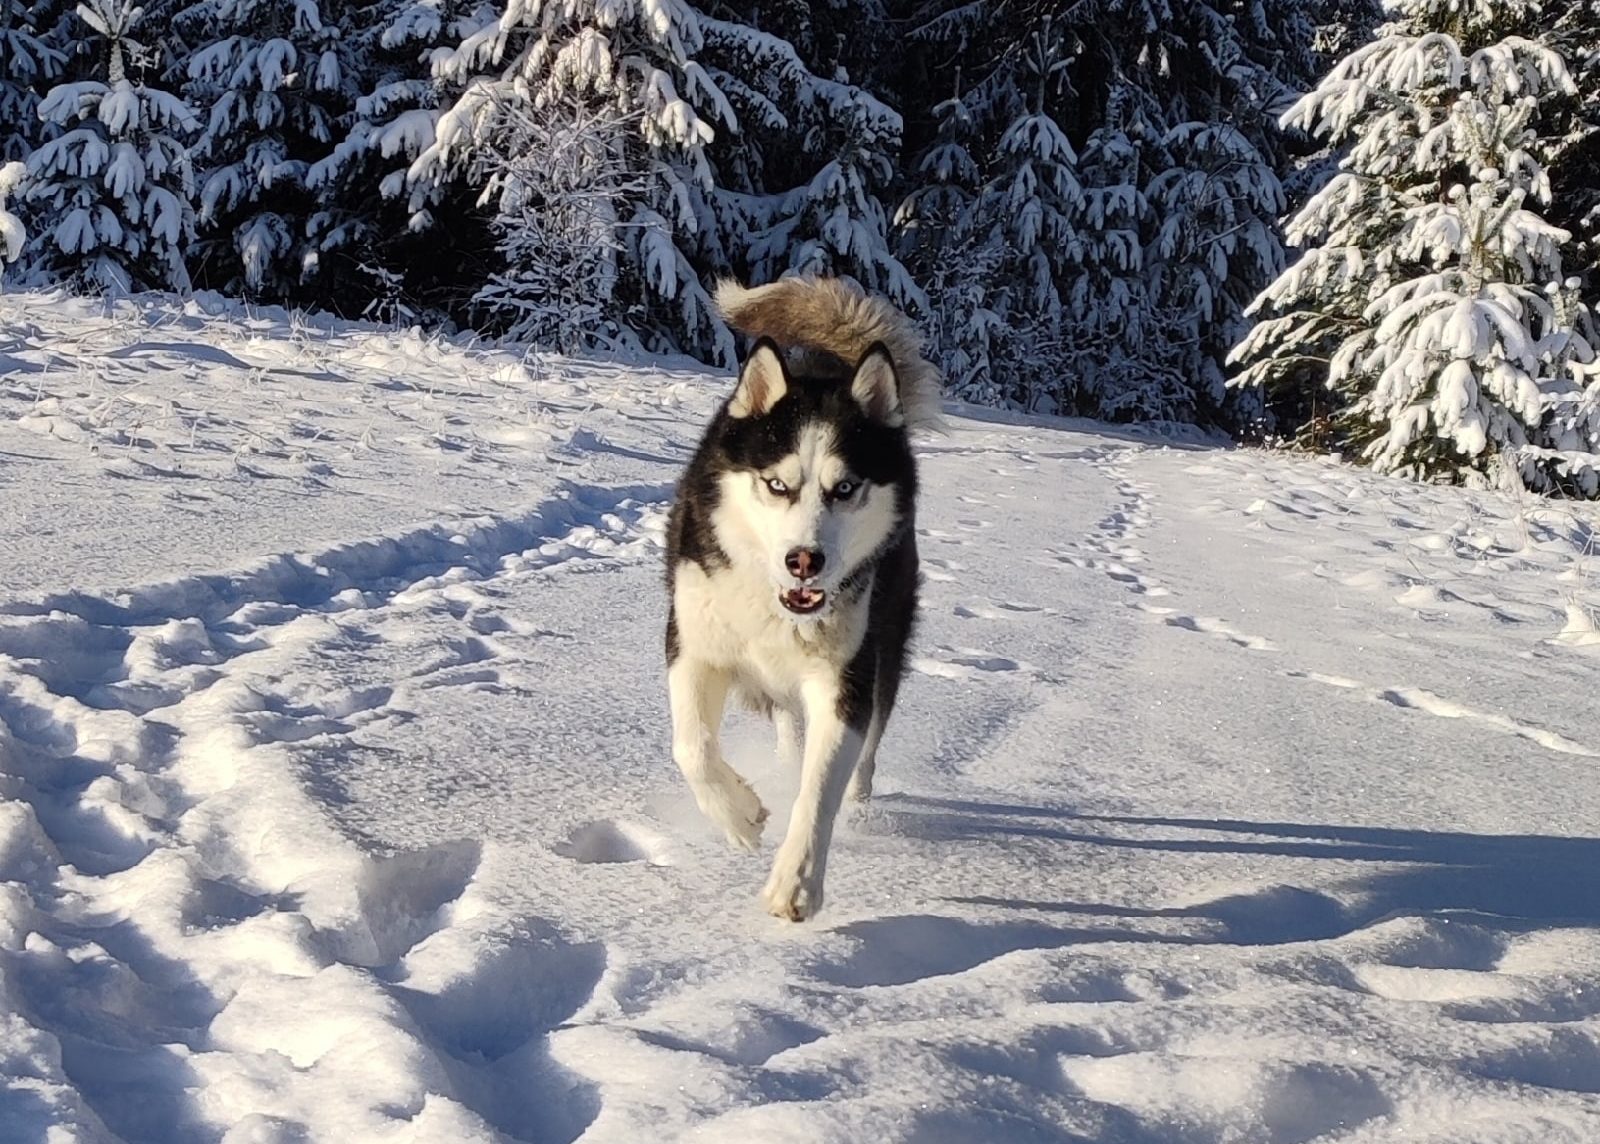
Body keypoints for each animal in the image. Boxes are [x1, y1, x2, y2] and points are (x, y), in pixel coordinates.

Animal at [659, 276, 934, 921]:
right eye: (777, 484)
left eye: (846, 487)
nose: (804, 561)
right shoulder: (694, 646)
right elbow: (692, 748)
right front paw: (739, 816)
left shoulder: (845, 681)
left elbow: (819, 790)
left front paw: (797, 883)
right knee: (783, 725)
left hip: (886, 641)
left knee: (867, 744)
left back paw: (857, 793)